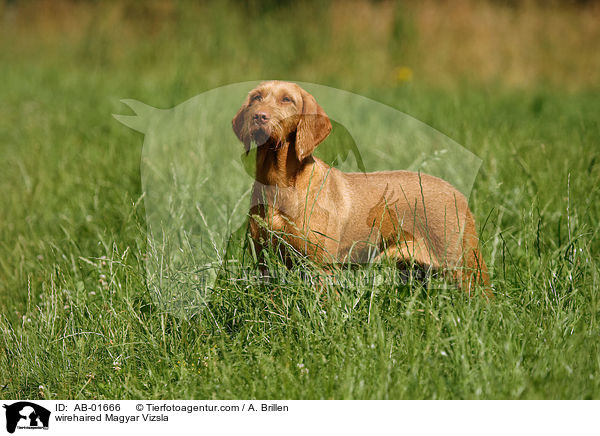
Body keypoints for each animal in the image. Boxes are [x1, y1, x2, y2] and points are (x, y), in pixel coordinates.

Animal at [232, 81, 490, 296]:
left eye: (287, 99)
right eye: (256, 97)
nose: (259, 116)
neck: (278, 183)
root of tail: (458, 194)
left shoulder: (322, 267)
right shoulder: (264, 262)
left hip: (464, 267)